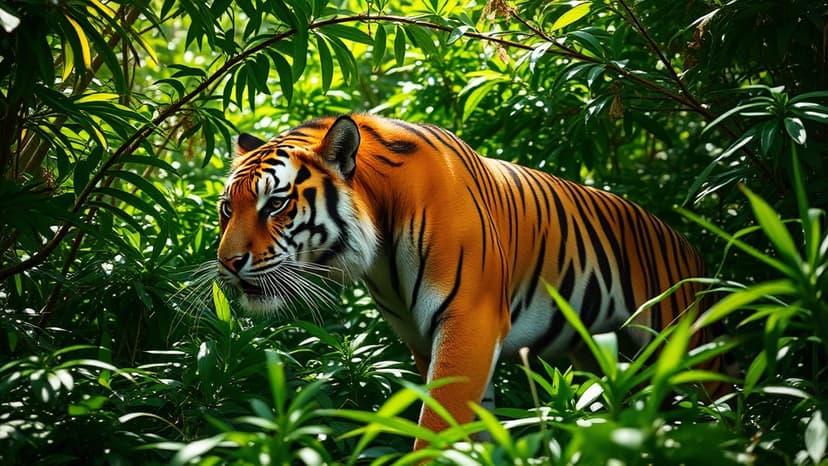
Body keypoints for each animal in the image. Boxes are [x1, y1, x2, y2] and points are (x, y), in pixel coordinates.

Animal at [216, 114, 724, 449]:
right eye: (227, 208)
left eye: (275, 205)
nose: (227, 262)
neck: (379, 240)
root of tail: (689, 245)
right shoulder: (424, 338)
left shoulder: (468, 320)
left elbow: (438, 425)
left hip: (689, 350)